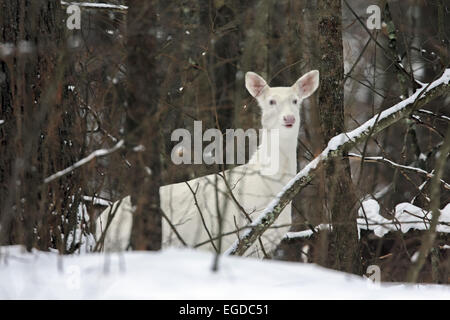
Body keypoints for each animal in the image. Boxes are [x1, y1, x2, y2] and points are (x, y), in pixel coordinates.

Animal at [95, 70, 320, 258]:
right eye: (271, 101)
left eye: (296, 100)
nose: (289, 118)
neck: (268, 183)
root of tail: (98, 227)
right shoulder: (235, 235)